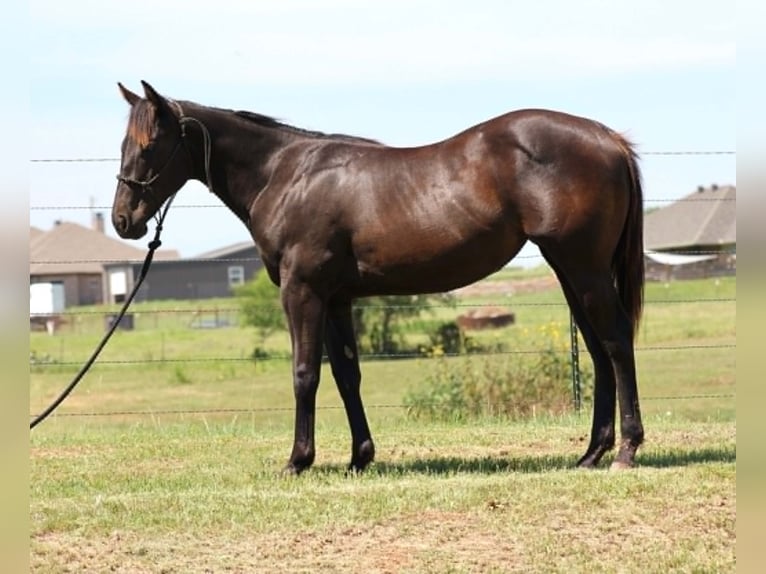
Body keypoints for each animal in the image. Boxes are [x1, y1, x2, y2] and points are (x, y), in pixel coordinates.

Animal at [112, 81, 645, 474]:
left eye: (149, 144)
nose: (123, 220)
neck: (285, 175)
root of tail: (608, 139)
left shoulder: (302, 292)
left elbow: (305, 373)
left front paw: (298, 461)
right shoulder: (337, 298)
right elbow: (347, 374)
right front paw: (359, 458)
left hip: (584, 268)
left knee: (617, 341)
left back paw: (625, 450)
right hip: (570, 271)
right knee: (599, 349)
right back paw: (591, 453)